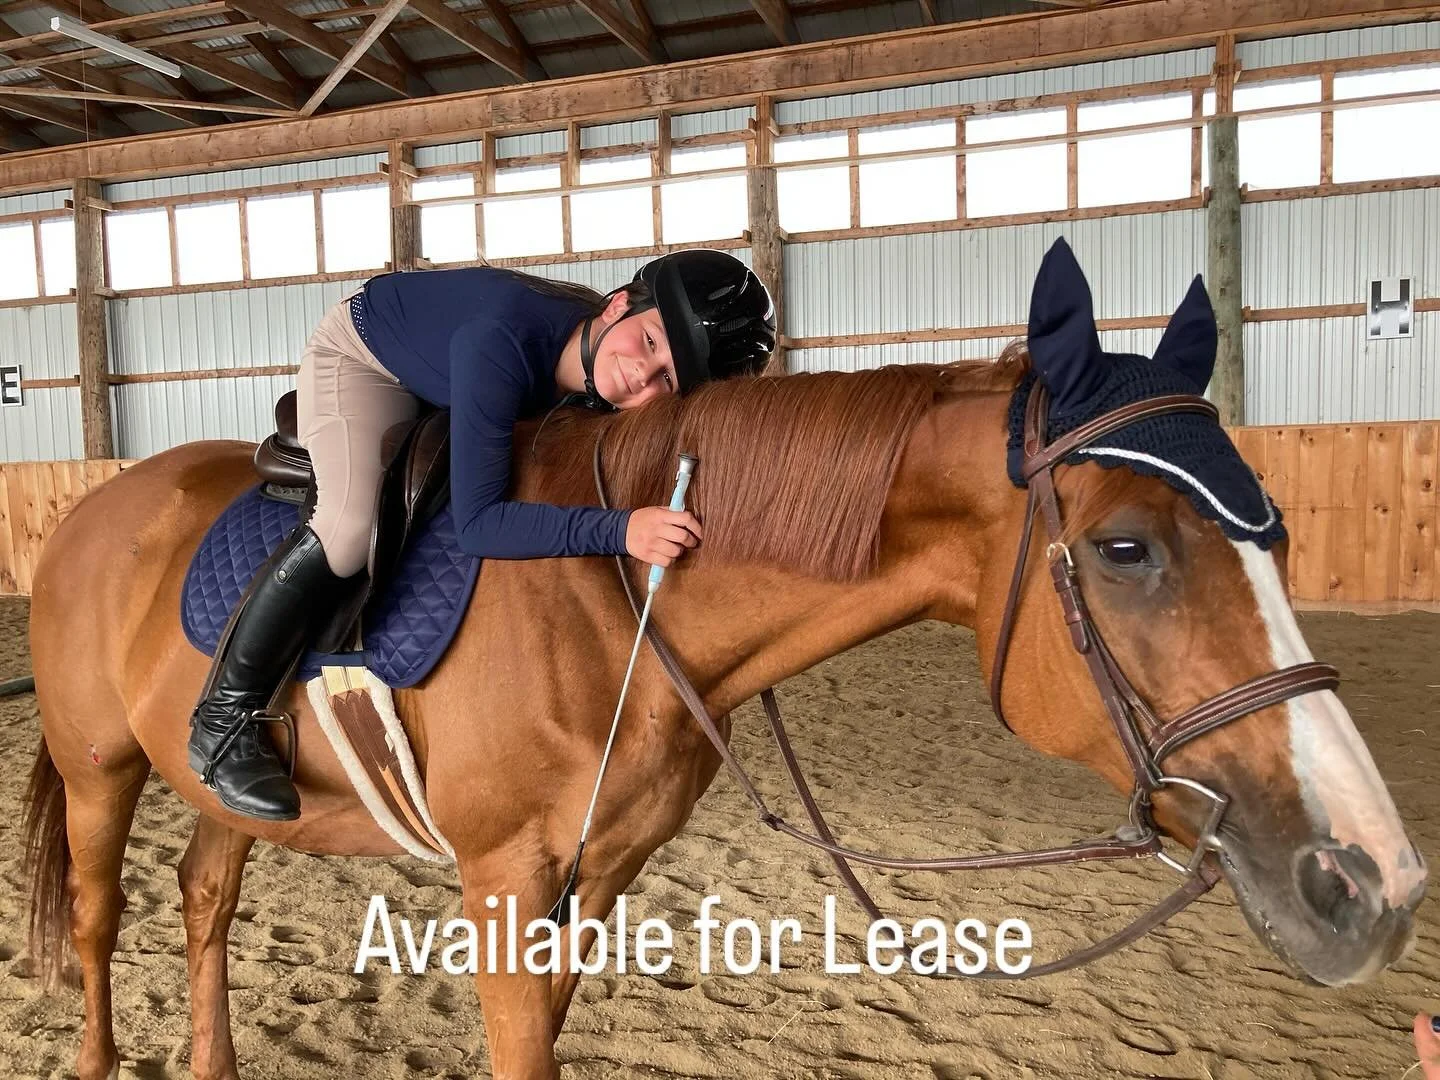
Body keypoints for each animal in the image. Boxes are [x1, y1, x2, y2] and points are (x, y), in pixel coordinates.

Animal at [22, 331, 1426, 1078]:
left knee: (205, 896)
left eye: (1277, 536)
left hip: (226, 791)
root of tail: (95, 509)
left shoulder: (595, 877)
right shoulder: (504, 880)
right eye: (1128, 549)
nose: (1373, 880)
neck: (610, 589)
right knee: (100, 921)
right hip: (100, 769)